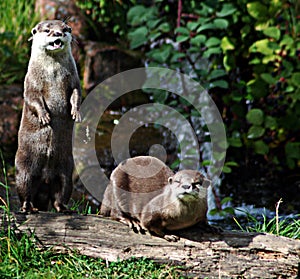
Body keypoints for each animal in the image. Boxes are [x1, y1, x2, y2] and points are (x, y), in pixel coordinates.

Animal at [14, 19, 81, 212]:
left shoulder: (74, 79)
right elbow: (33, 99)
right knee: (25, 189)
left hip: (66, 169)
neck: (53, 74)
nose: (58, 33)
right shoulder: (31, 82)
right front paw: (44, 116)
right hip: (24, 169)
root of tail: (45, 181)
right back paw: (28, 208)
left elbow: (76, 94)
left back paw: (64, 209)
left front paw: (75, 112)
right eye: (47, 30)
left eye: (65, 29)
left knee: (61, 193)